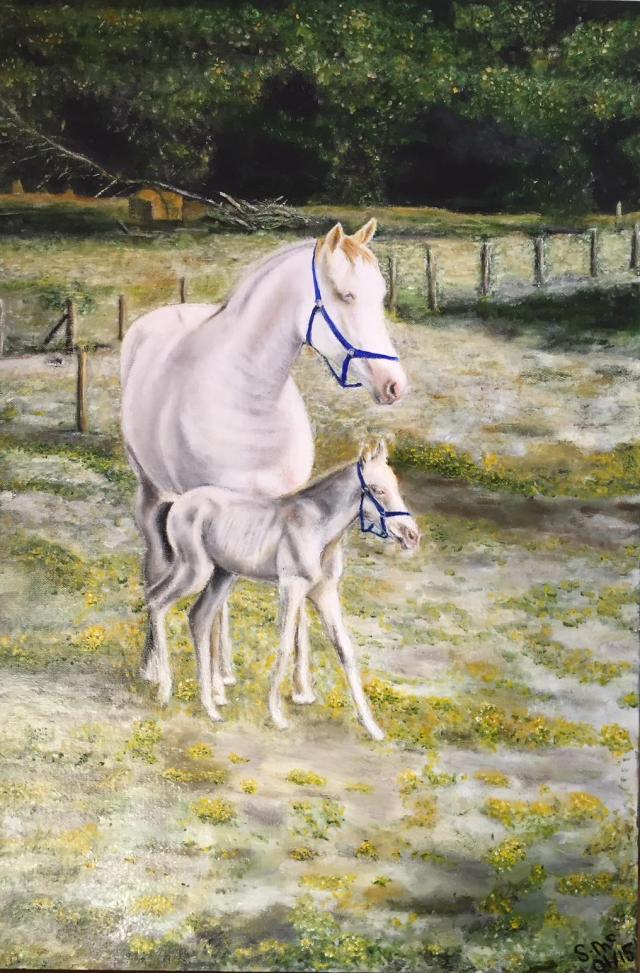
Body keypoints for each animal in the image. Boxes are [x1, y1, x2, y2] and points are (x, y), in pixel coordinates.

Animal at [120, 219, 408, 708]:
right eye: (346, 295)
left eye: (381, 295)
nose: (394, 385)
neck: (249, 395)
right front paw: (212, 682)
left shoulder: (287, 510)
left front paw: (301, 686)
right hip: (153, 493)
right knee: (156, 568)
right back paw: (158, 667)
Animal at [146, 440, 420, 739]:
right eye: (378, 490)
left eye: (395, 485)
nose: (412, 535)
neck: (318, 528)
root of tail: (178, 502)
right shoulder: (292, 586)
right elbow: (286, 645)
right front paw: (277, 715)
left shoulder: (325, 593)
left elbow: (344, 649)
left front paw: (372, 727)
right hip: (195, 571)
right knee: (156, 601)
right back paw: (164, 691)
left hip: (223, 576)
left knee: (198, 617)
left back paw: (211, 707)